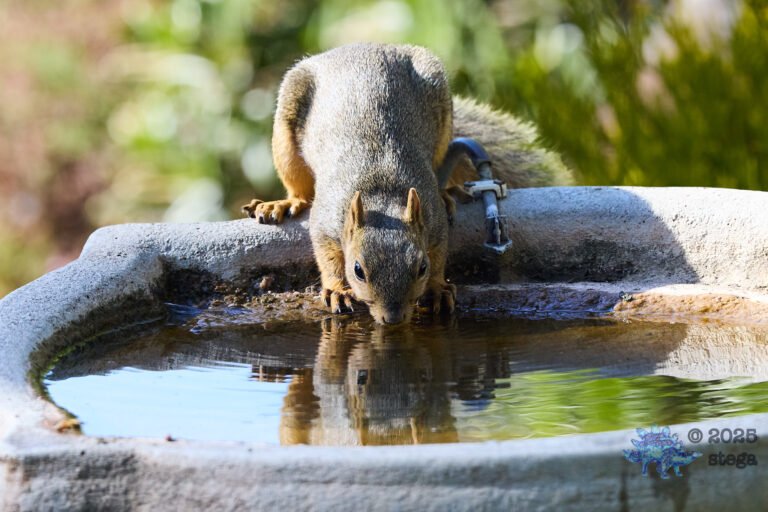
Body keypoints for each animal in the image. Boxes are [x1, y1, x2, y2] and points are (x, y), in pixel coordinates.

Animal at [243, 43, 571, 325]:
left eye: (421, 268)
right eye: (357, 270)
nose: (393, 318)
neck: (381, 190)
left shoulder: (433, 220)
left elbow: (439, 253)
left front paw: (437, 288)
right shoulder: (326, 220)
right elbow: (326, 255)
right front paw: (337, 290)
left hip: (442, 118)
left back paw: (447, 192)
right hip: (286, 128)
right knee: (297, 186)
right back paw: (283, 203)